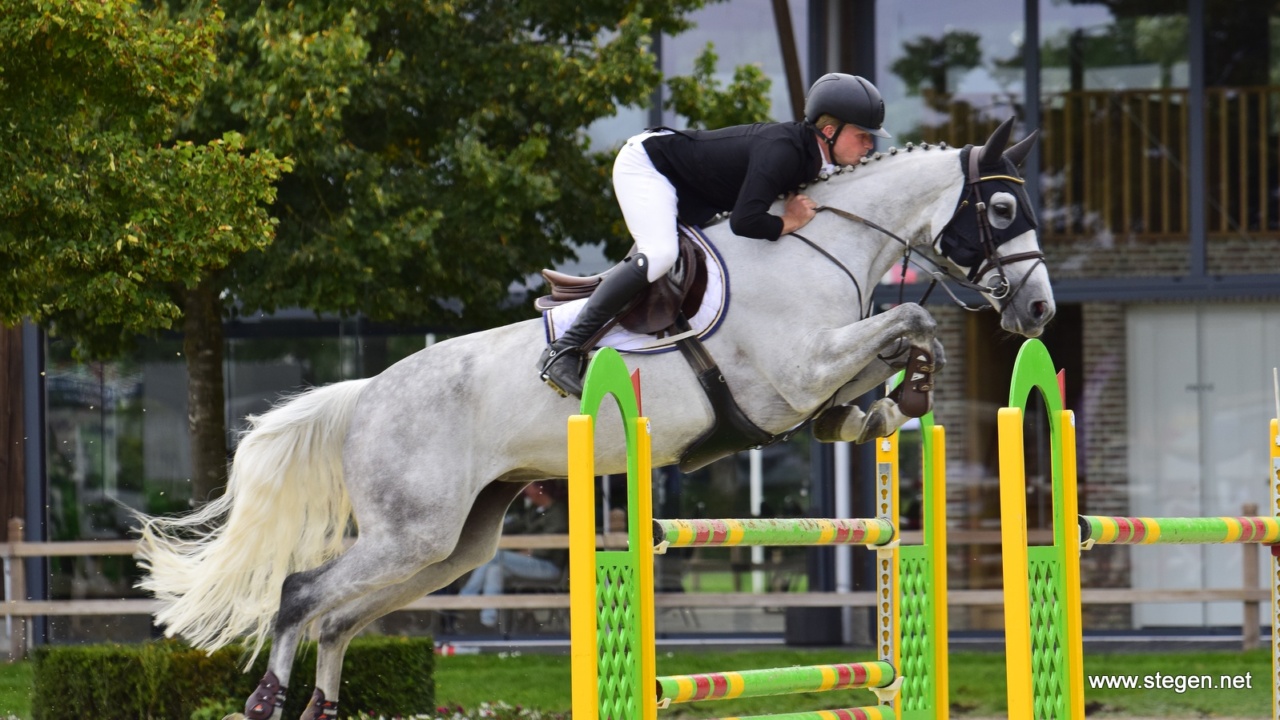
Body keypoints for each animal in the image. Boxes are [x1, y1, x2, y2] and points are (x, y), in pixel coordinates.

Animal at [135, 119, 1054, 717]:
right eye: (1004, 212)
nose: (1041, 311)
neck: (815, 245)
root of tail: (369, 391)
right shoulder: (791, 375)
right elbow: (911, 319)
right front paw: (909, 384)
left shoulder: (816, 375)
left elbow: (881, 359)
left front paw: (891, 404)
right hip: (410, 531)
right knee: (301, 596)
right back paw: (266, 700)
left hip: (451, 543)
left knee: (338, 619)